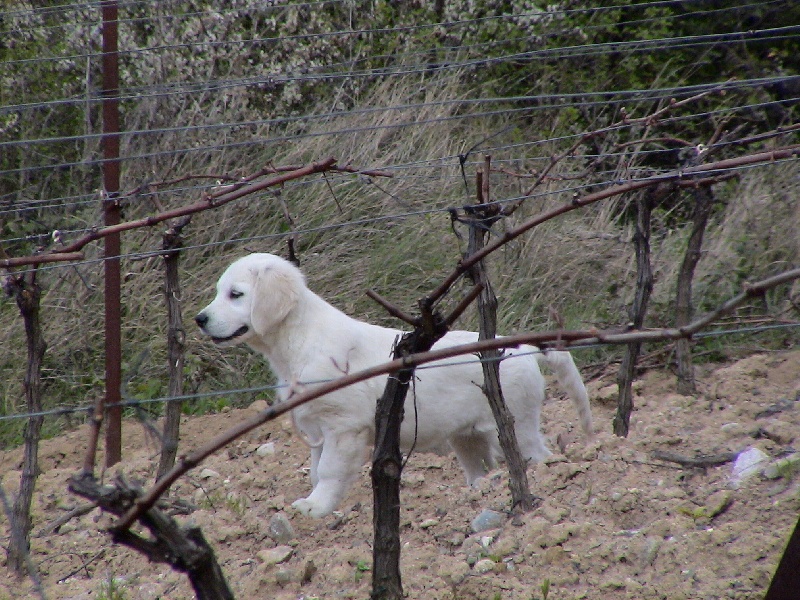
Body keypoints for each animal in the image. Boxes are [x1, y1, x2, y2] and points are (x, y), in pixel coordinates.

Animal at [196, 251, 592, 516]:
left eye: (236, 294)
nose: (200, 319)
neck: (297, 341)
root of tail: (522, 347)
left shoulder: (344, 426)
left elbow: (328, 470)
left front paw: (316, 508)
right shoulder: (317, 429)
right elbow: (315, 470)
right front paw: (316, 502)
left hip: (515, 427)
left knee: (537, 457)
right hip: (468, 438)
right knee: (482, 467)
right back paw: (477, 493)